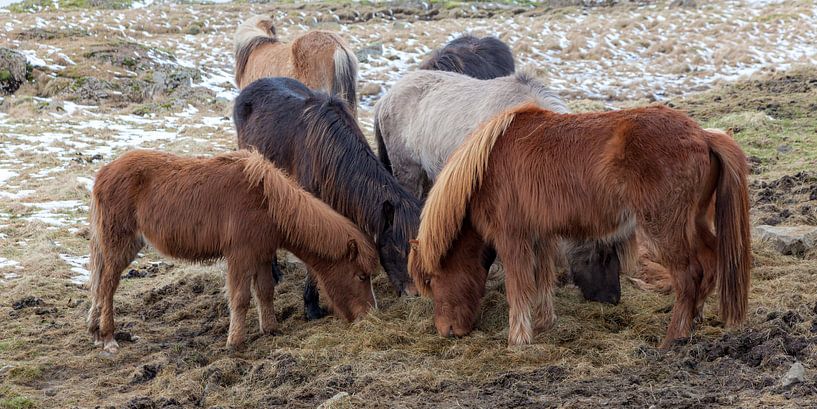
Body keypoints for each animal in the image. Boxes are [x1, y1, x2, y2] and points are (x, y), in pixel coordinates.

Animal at [86, 149, 379, 354]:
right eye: (361, 276)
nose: (370, 316)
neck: (268, 203)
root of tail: (104, 172)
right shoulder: (241, 256)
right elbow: (240, 298)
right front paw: (235, 343)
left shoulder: (262, 255)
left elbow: (265, 292)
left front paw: (270, 329)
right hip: (119, 245)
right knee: (108, 285)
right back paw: (108, 338)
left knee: (100, 284)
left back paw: (95, 331)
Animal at [409, 104, 751, 348]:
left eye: (433, 279)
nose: (447, 331)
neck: (485, 169)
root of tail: (703, 135)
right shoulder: (539, 236)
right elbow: (541, 279)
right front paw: (544, 323)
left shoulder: (513, 239)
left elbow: (518, 287)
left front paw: (518, 338)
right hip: (695, 222)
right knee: (710, 262)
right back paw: (696, 319)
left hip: (665, 230)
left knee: (689, 275)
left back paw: (674, 338)